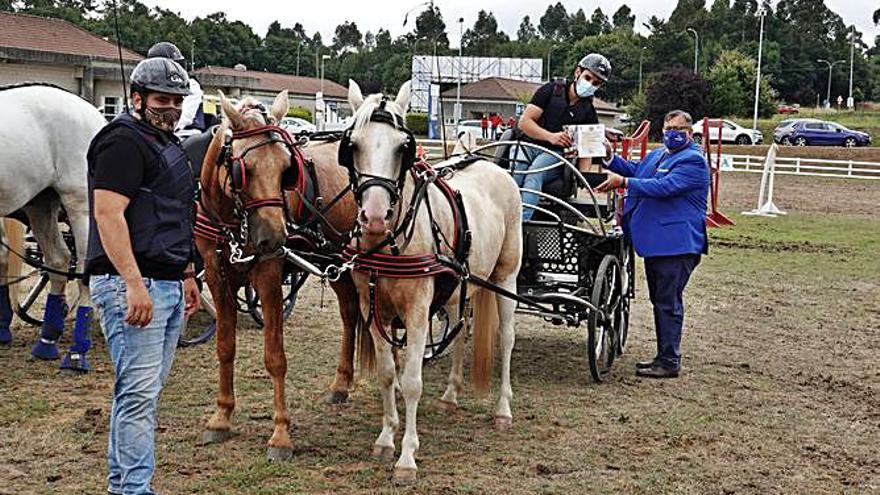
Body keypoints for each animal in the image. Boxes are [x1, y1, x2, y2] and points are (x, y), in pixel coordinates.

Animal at [0, 84, 105, 372]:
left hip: (81, 205)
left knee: (83, 269)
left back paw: (78, 352)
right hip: (41, 204)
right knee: (58, 259)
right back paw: (46, 342)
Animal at [199, 91, 360, 460]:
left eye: (287, 169)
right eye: (243, 169)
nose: (274, 237)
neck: (232, 221)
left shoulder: (269, 279)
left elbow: (275, 358)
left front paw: (281, 434)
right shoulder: (217, 276)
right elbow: (225, 346)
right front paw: (221, 416)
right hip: (338, 268)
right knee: (350, 315)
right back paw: (341, 383)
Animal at [342, 82, 524, 484]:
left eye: (402, 147)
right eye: (353, 145)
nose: (374, 217)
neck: (390, 242)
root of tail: (490, 164)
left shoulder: (416, 310)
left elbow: (411, 381)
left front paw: (407, 456)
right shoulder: (372, 307)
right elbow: (386, 374)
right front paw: (386, 438)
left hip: (506, 277)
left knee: (506, 339)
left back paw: (503, 409)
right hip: (459, 288)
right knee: (459, 329)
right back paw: (451, 395)